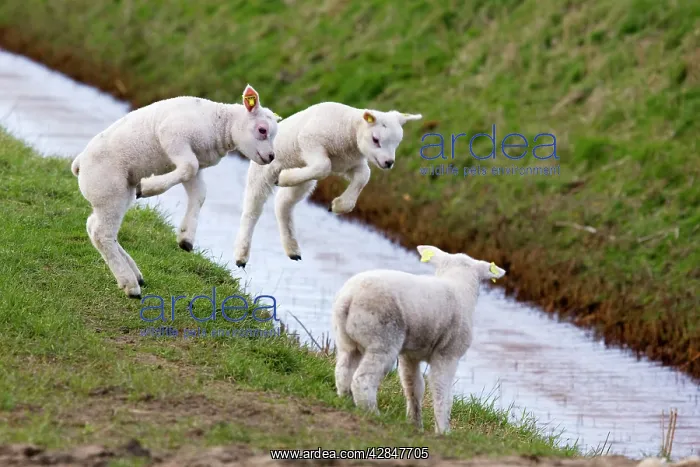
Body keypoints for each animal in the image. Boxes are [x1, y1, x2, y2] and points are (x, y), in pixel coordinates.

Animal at [71, 85, 281, 298]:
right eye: (262, 130)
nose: (271, 157)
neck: (220, 124)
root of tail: (79, 163)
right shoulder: (173, 135)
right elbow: (189, 167)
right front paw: (149, 187)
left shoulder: (195, 160)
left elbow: (199, 191)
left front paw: (186, 238)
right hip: (109, 190)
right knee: (101, 234)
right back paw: (130, 285)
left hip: (117, 194)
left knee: (94, 226)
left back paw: (135, 274)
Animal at [232, 102, 422, 268]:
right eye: (376, 139)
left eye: (397, 142)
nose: (388, 162)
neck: (348, 131)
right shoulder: (310, 141)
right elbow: (324, 167)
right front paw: (285, 178)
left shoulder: (348, 164)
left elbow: (364, 176)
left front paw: (339, 205)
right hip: (262, 169)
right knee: (252, 211)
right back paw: (241, 256)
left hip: (304, 181)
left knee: (283, 203)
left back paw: (292, 249)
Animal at [331, 245, 506, 434]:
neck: (458, 285)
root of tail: (349, 298)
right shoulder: (447, 355)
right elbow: (442, 393)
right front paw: (443, 431)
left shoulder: (410, 355)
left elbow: (414, 387)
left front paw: (415, 424)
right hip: (383, 339)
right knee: (363, 379)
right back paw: (373, 413)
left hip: (346, 340)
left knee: (343, 371)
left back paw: (346, 402)